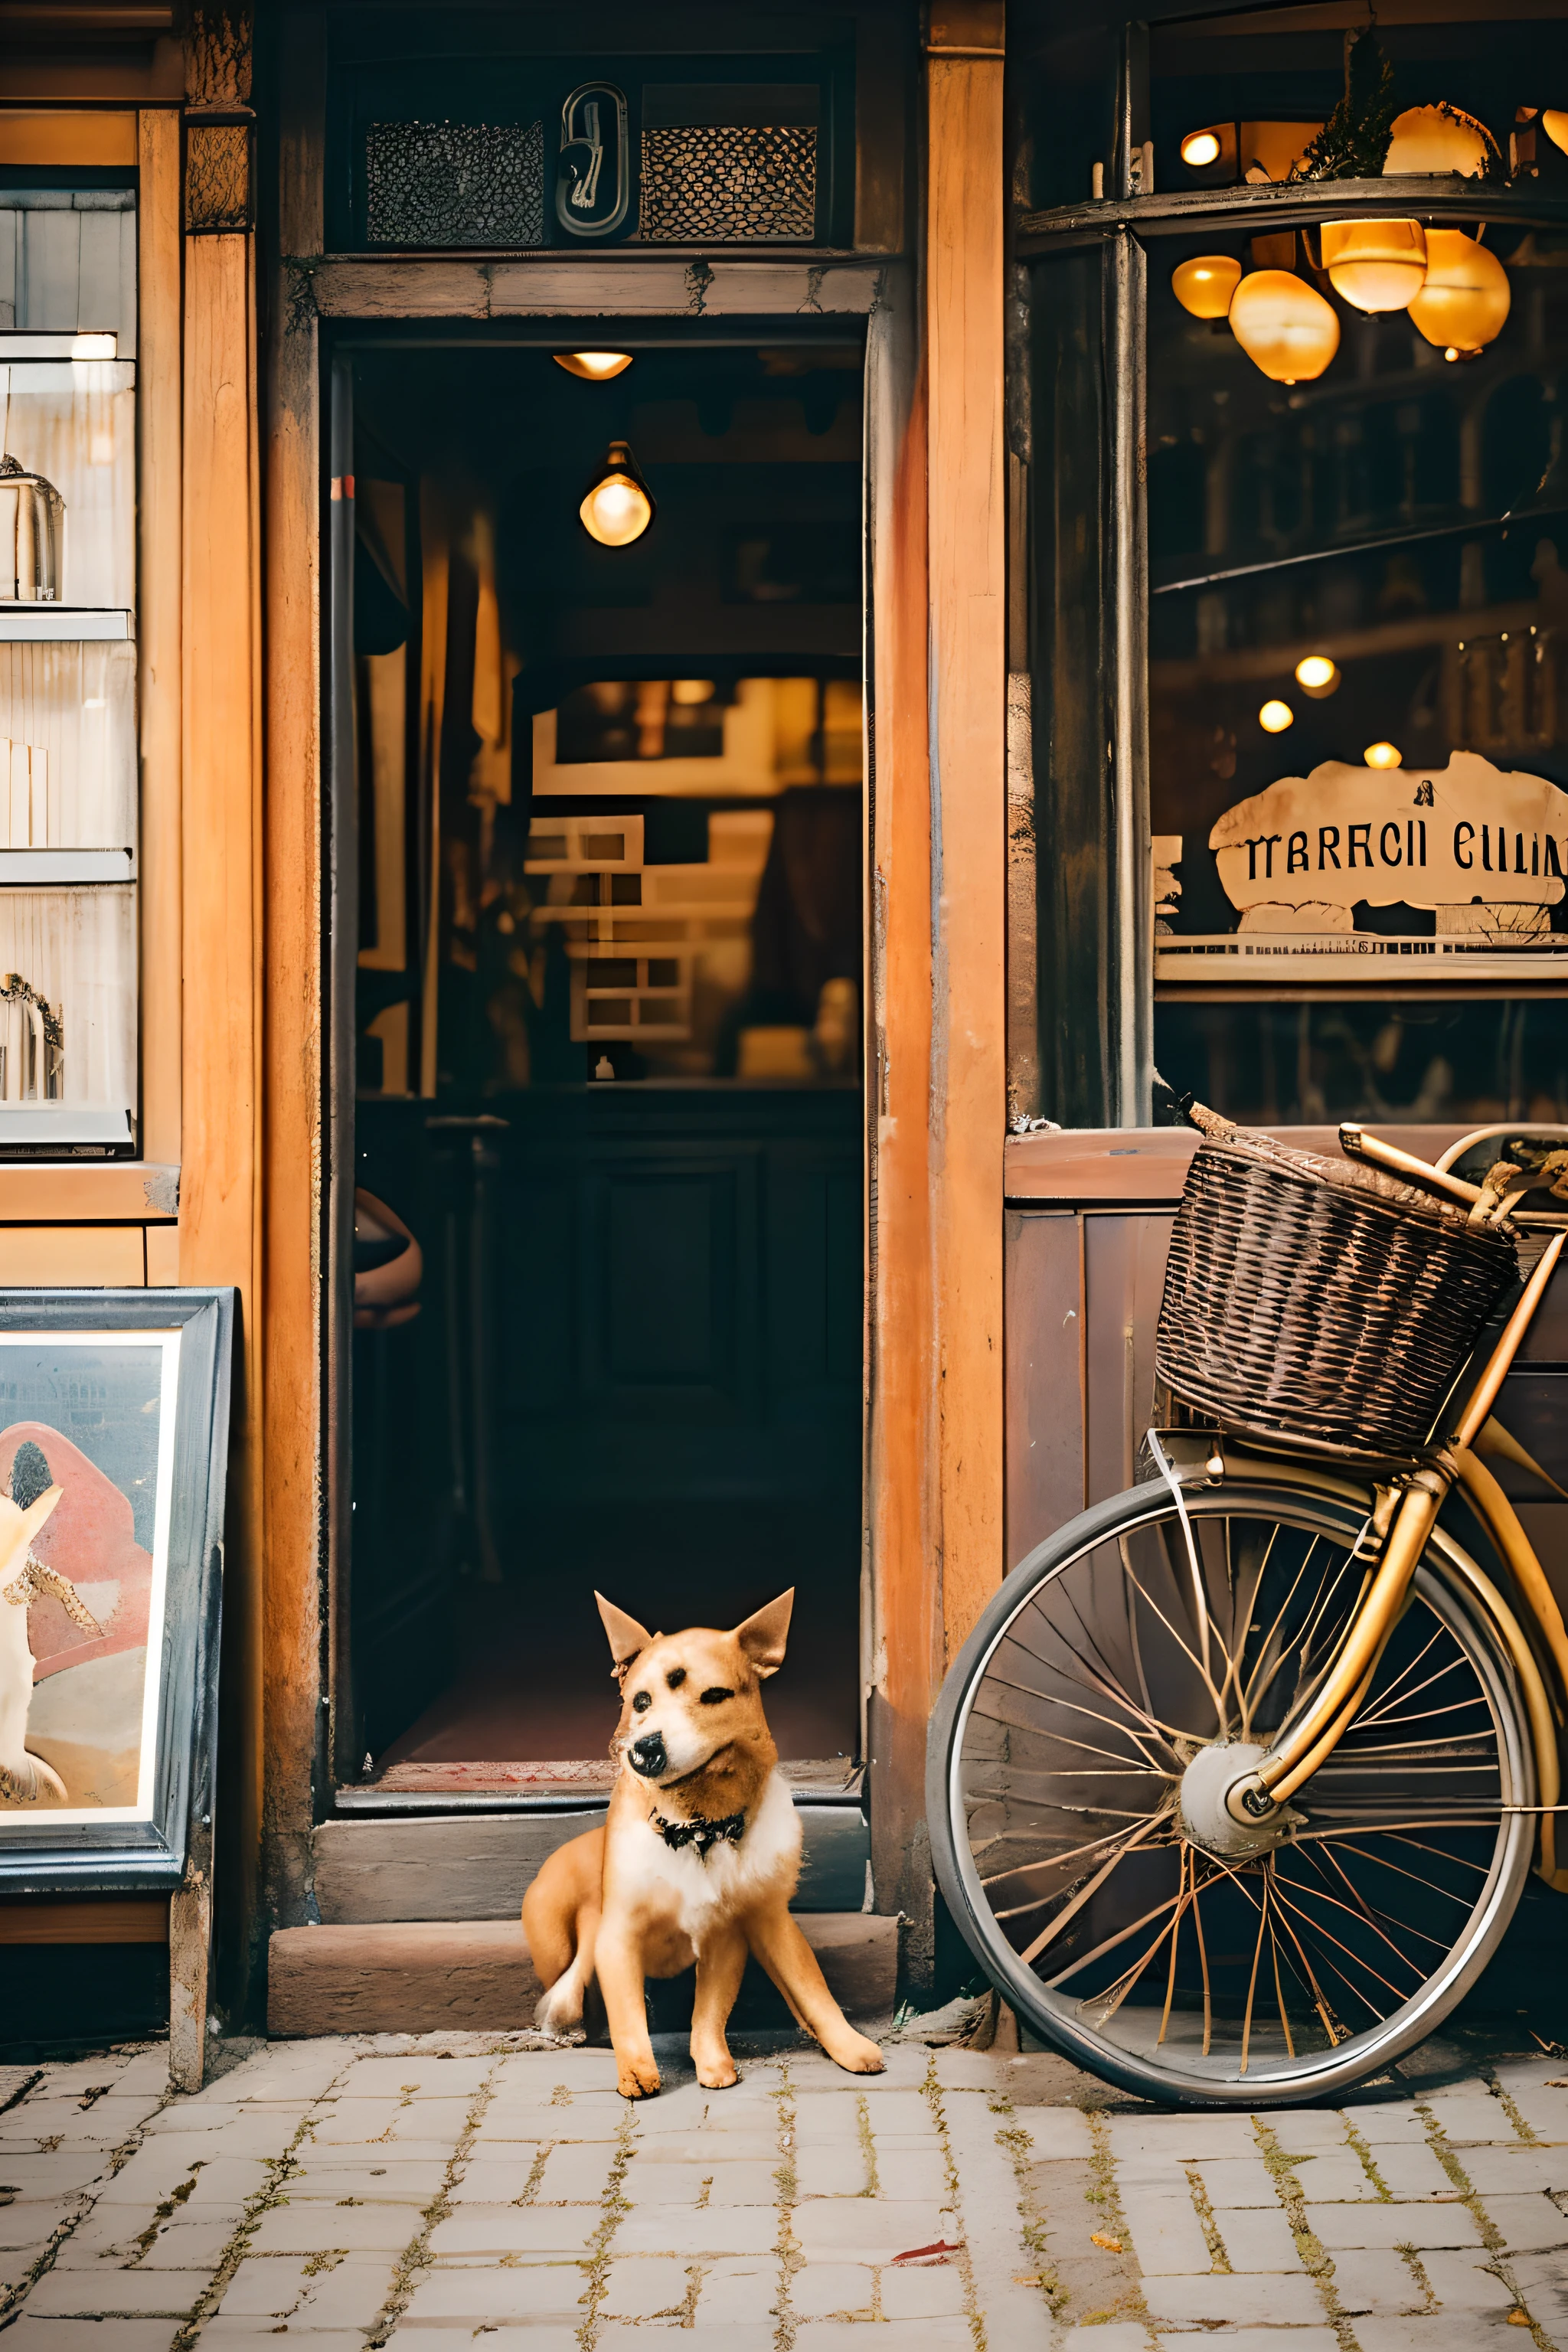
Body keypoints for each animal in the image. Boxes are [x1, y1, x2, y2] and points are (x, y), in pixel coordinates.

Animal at [524, 1589, 884, 2107]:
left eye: (714, 1696)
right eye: (640, 1701)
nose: (645, 1747)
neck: (697, 1826)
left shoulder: (743, 1930)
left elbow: (751, 2000)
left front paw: (715, 2061)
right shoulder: (620, 1935)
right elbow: (626, 2014)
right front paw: (636, 2073)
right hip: (552, 1935)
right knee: (574, 1969)